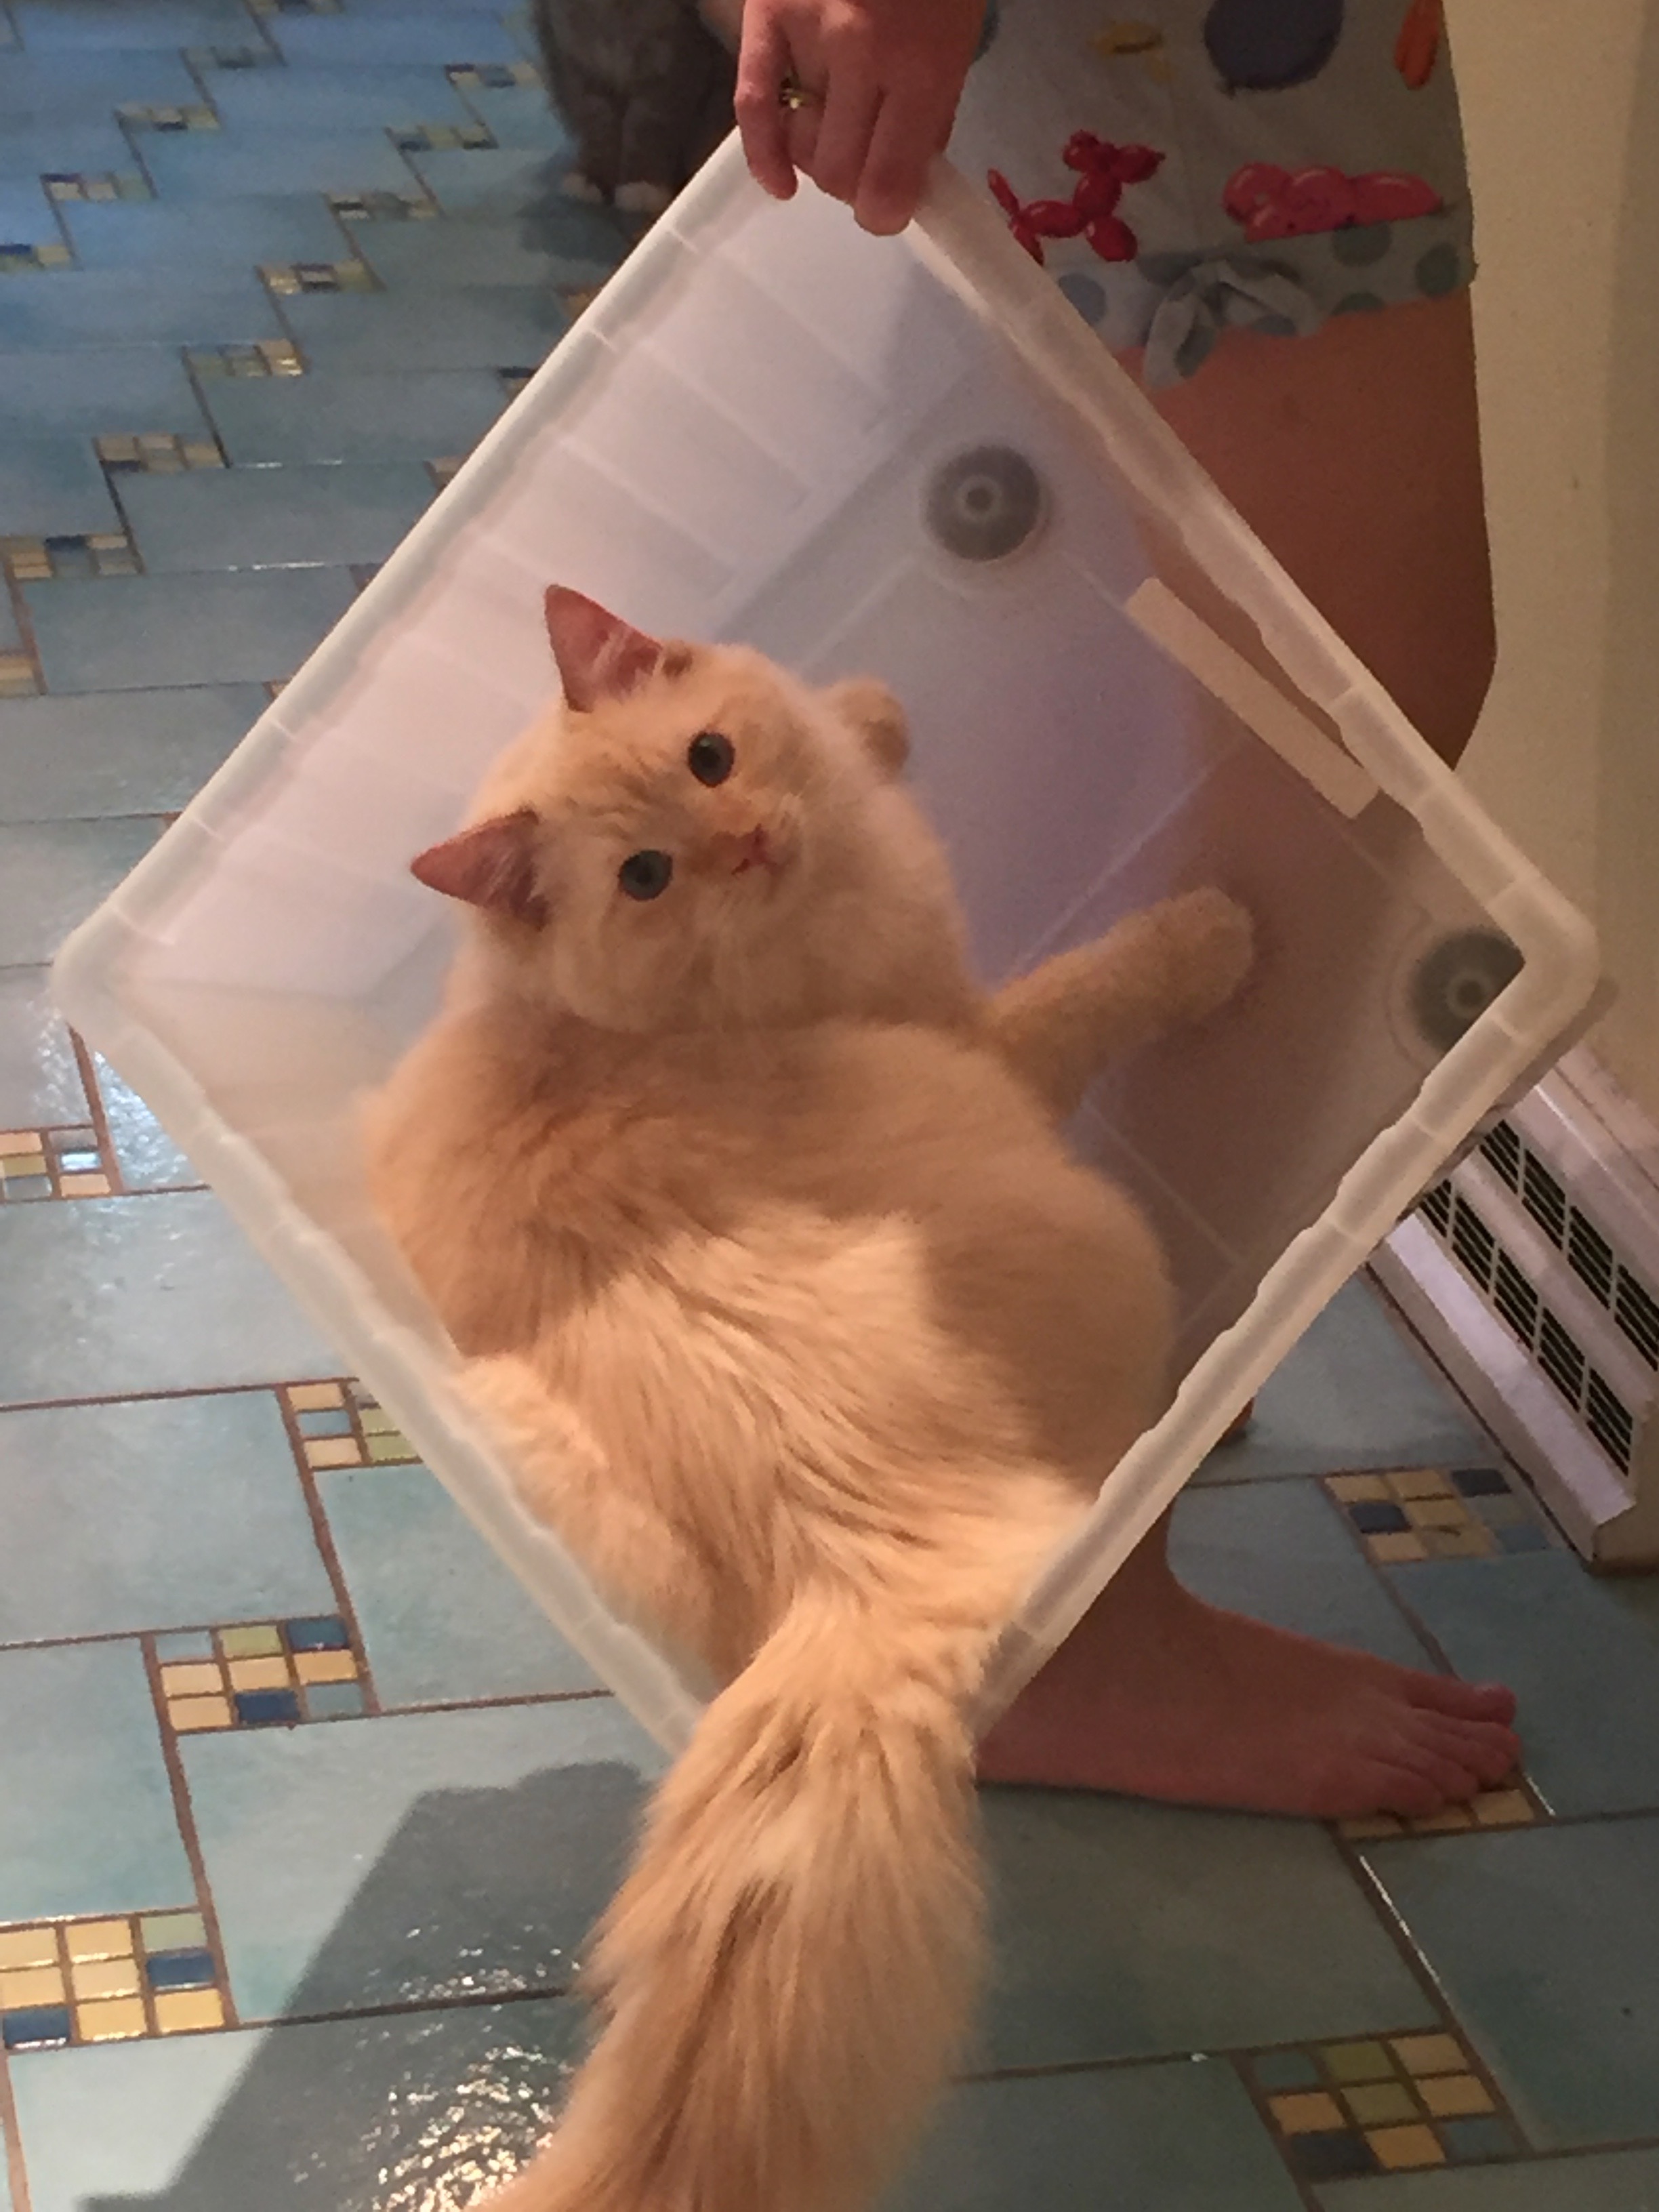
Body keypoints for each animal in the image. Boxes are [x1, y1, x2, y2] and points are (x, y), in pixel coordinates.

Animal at [361, 583, 1247, 2212]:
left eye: (710, 758)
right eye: (646, 877)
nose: (750, 844)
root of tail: (857, 1563)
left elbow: (849, 716)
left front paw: (873, 713)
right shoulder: (977, 1030)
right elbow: (1093, 983)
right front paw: (1214, 932)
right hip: (1101, 1225)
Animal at [533, 0, 739, 218]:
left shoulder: (671, 67)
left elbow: (646, 127)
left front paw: (641, 186)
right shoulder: (575, 66)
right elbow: (597, 129)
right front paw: (593, 177)